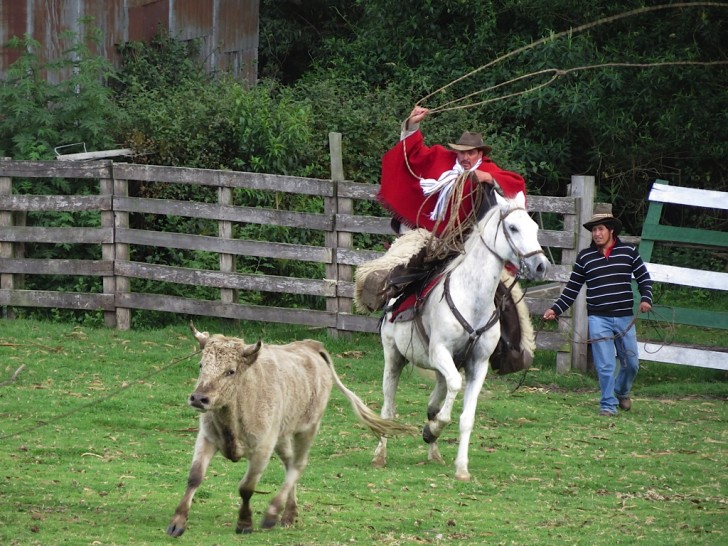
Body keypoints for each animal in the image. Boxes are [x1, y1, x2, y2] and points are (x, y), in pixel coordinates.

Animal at [372, 189, 548, 478]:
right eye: (513, 227)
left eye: (534, 228)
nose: (541, 266)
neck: (472, 298)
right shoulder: (440, 351)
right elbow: (453, 389)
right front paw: (434, 429)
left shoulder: (478, 363)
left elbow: (466, 417)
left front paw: (461, 466)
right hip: (394, 356)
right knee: (389, 406)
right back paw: (380, 455)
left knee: (435, 398)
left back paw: (434, 452)